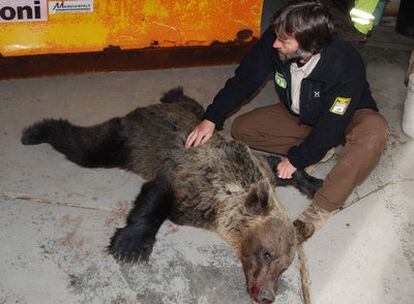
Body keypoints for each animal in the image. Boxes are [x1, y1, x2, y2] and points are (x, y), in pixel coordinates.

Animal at [21, 87, 322, 304]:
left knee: (196, 106)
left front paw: (313, 182)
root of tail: (153, 108)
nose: (266, 295)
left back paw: (176, 94)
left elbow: (281, 167)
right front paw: (130, 246)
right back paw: (35, 131)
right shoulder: (195, 187)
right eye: (267, 253)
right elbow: (156, 197)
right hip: (129, 139)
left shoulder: (260, 170)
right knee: (86, 147)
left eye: (284, 266)